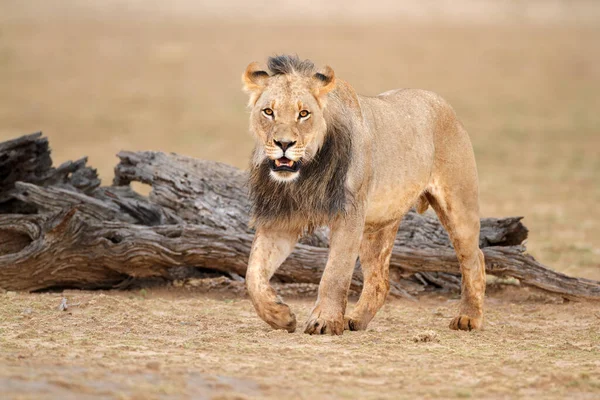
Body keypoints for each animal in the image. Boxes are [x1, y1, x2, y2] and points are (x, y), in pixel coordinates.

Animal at [241, 54, 486, 334]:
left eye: (304, 114)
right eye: (268, 112)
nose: (283, 144)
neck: (305, 173)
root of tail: (443, 103)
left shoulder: (350, 215)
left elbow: (335, 273)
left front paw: (324, 321)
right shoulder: (281, 219)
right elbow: (253, 274)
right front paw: (279, 315)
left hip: (459, 206)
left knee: (475, 259)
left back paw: (468, 317)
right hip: (378, 225)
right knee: (380, 280)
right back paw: (355, 319)